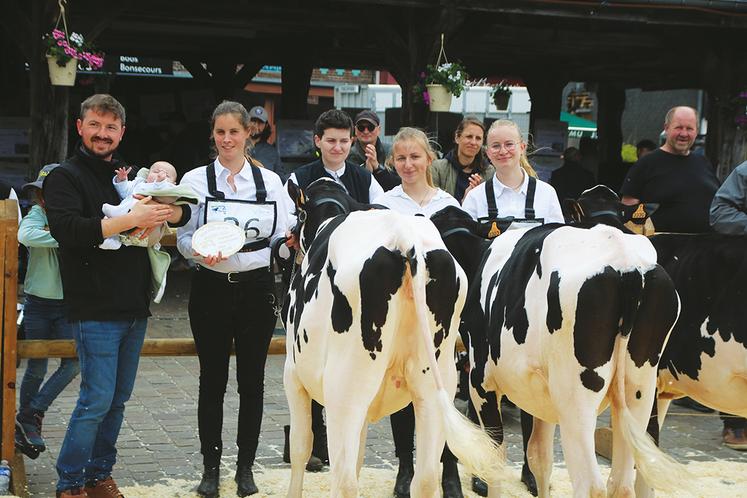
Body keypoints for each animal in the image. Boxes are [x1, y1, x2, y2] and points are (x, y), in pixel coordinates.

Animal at [284, 181, 506, 498]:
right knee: (425, 477)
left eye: (299, 214)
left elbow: (301, 447)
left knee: (344, 479)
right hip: (435, 386)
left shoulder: (293, 376)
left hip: (345, 389)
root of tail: (405, 238)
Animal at [430, 203, 688, 498]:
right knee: (622, 482)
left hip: (575, 397)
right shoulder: (543, 397)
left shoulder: (481, 382)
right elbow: (540, 459)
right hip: (639, 389)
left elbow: (495, 458)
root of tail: (626, 261)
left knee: (590, 484)